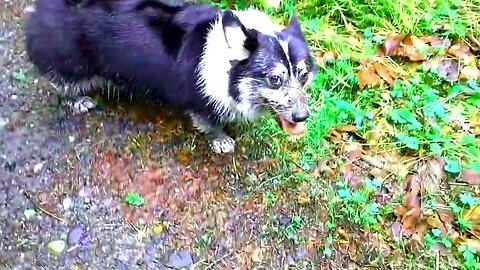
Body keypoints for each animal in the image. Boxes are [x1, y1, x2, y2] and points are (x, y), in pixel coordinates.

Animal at [22, 0, 318, 153]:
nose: (303, 117)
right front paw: (222, 140)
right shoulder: (201, 103)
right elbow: (211, 123)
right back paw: (78, 100)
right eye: (274, 79)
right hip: (72, 63)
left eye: (304, 75)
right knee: (62, 82)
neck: (229, 66)